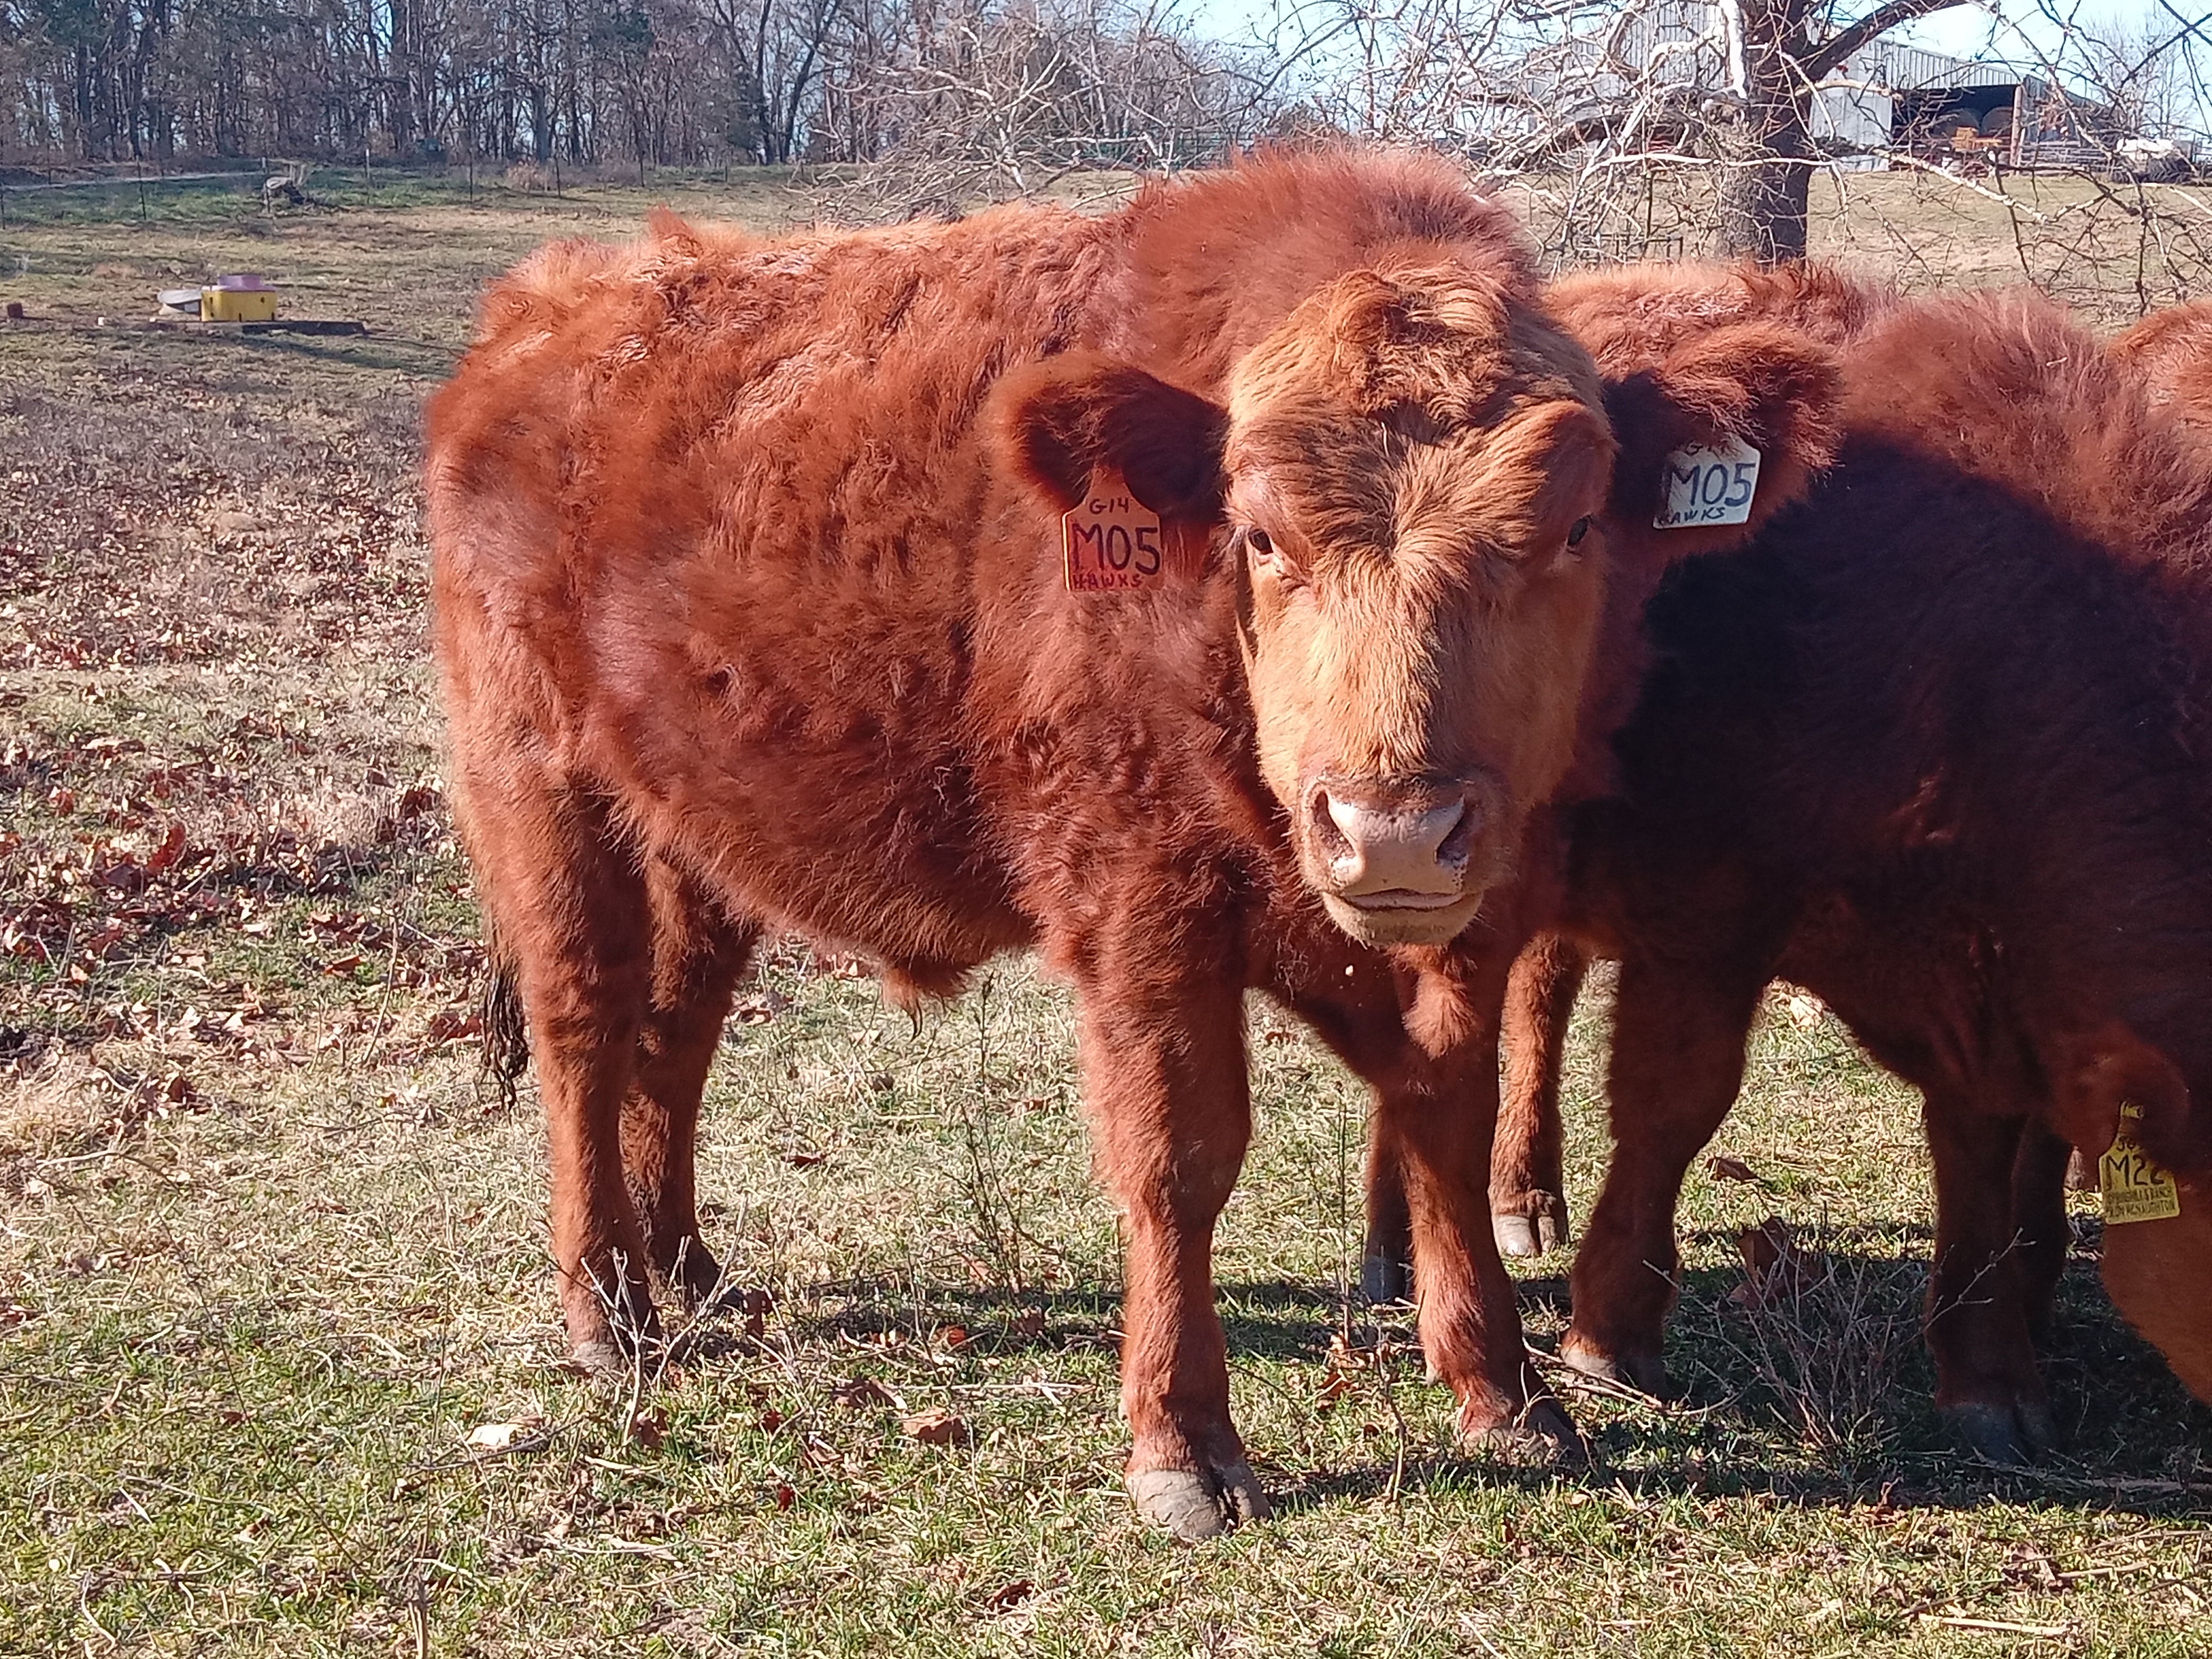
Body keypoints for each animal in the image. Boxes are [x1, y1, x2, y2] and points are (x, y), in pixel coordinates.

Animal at [425, 149, 1842, 1538]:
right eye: (1260, 534)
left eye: (1573, 529)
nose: (1389, 828)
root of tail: (552, 309)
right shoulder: (1142, 917)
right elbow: (1178, 1158)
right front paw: (1183, 1441)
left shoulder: (1471, 927)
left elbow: (1445, 1113)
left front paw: (1504, 1390)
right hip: (538, 790)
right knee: (584, 1022)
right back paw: (607, 1305)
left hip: (687, 836)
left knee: (676, 1034)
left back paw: (689, 1270)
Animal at [1409, 283, 2212, 1460]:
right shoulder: (1708, 913)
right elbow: (1674, 1102)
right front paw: (1611, 1334)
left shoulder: (1988, 976)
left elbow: (1983, 1142)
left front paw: (1990, 1367)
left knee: (1535, 994)